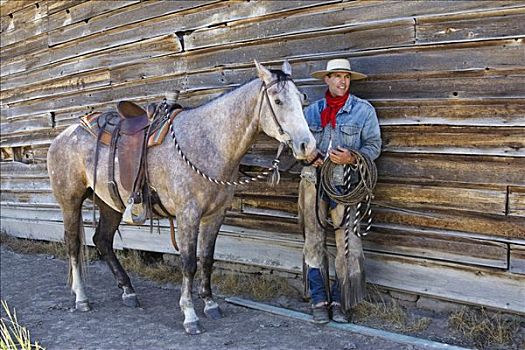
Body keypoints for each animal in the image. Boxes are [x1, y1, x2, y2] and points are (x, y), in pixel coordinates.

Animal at [47, 60, 316, 334]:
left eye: (301, 98)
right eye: (278, 100)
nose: (308, 146)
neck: (207, 143)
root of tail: (63, 135)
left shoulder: (215, 215)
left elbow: (206, 259)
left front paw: (210, 304)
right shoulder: (188, 215)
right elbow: (188, 263)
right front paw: (190, 315)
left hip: (109, 203)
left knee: (102, 240)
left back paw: (128, 291)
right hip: (70, 201)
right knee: (72, 244)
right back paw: (82, 298)